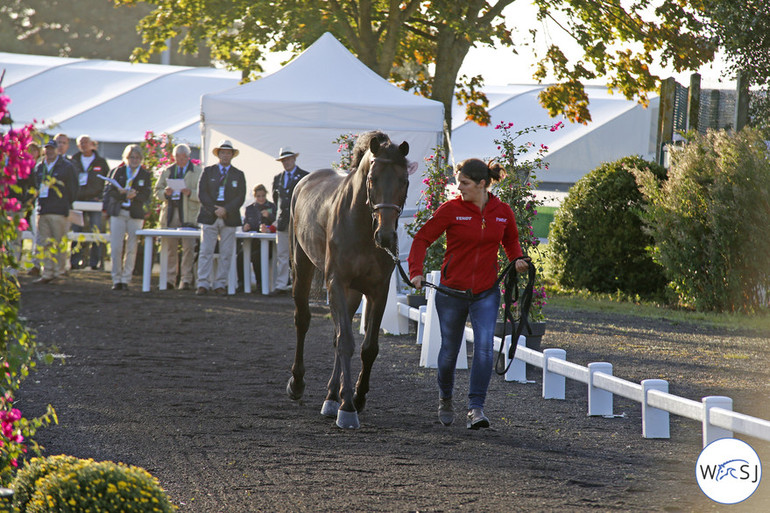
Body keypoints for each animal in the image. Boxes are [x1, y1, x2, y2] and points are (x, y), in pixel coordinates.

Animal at [288, 132, 416, 428]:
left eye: (404, 181)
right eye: (372, 179)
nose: (386, 236)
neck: (361, 224)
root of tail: (304, 181)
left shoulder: (378, 291)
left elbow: (368, 348)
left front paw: (356, 397)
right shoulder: (336, 283)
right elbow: (346, 341)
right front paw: (347, 408)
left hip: (354, 293)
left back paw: (331, 397)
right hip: (303, 267)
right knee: (303, 321)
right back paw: (298, 384)